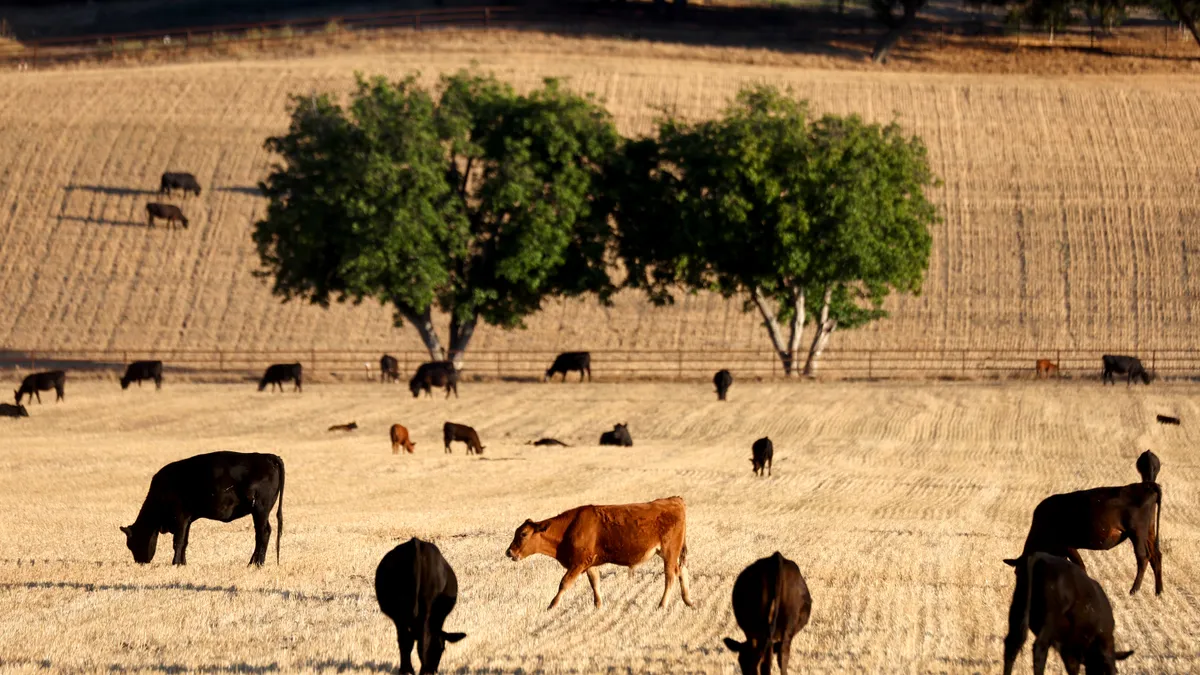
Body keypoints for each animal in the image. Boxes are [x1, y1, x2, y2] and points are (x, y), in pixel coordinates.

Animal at [120, 449, 284, 564]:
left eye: (133, 543)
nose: (140, 562)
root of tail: (268, 456)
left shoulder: (180, 516)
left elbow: (178, 541)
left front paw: (175, 563)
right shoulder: (187, 519)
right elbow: (184, 541)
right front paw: (182, 563)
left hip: (260, 509)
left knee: (262, 533)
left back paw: (256, 563)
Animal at [374, 535, 468, 672]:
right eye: (442, 649)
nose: (433, 670)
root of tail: (416, 543)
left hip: (402, 613)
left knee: (407, 641)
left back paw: (407, 670)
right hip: (424, 609)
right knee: (422, 643)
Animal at [506, 494, 696, 610]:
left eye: (523, 534)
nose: (509, 552)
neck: (569, 528)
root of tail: (674, 500)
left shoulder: (578, 563)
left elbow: (564, 583)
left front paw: (551, 606)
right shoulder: (589, 563)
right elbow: (595, 583)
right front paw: (598, 605)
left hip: (669, 551)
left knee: (671, 575)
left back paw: (662, 605)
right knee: (682, 570)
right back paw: (688, 601)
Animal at [1003, 552, 1132, 672]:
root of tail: (1039, 556)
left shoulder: (1069, 650)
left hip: (1018, 607)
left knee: (1012, 644)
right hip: (1049, 619)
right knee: (1039, 648)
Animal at [1012, 478, 1161, 593]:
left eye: (1020, 572)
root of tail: (1145, 485)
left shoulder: (1067, 546)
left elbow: (1081, 567)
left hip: (1137, 532)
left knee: (1143, 557)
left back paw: (1134, 590)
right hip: (1149, 531)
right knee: (1156, 556)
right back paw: (1158, 592)